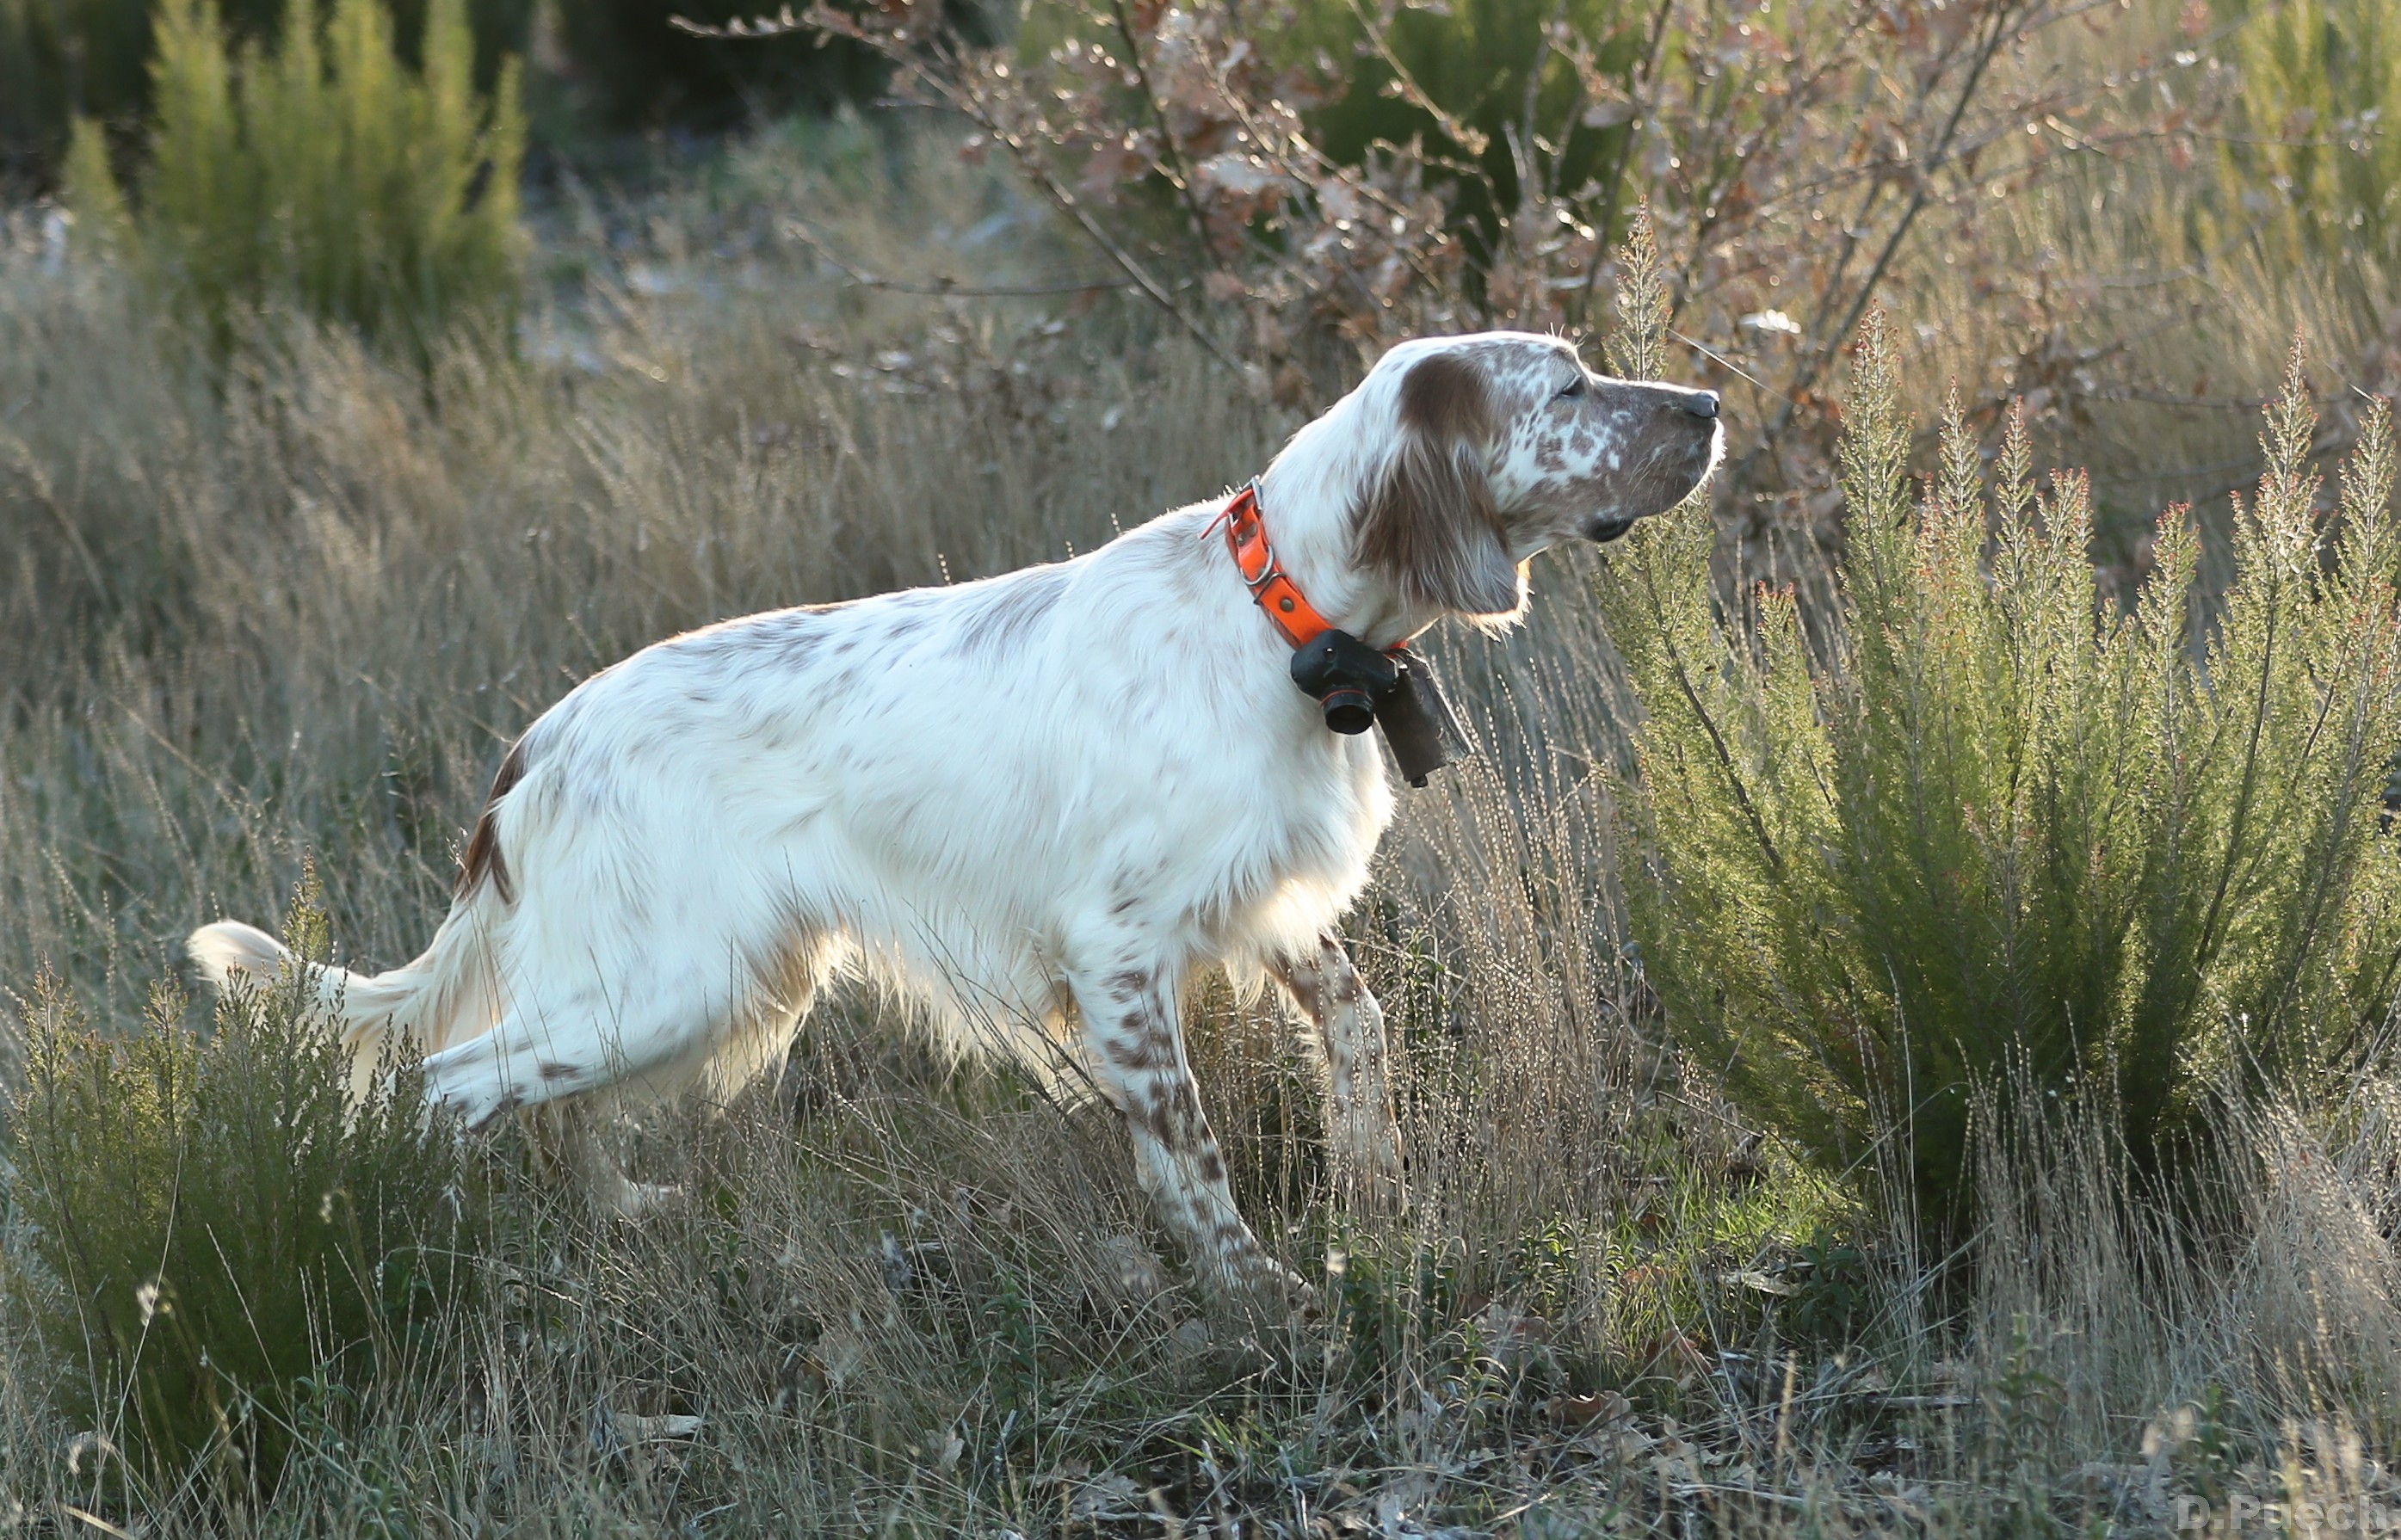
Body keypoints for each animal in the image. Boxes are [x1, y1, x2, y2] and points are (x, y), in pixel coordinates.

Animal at [192, 330, 1728, 1285]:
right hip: (670, 978)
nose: (1710, 408)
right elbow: (1191, 1151)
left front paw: (1375, 1193)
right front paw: (1261, 1296)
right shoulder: (1117, 952)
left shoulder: (1259, 897)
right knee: (449, 1085)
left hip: (690, 985)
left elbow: (1358, 1027)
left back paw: (620, 1213)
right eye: (1569, 388)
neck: (1281, 618)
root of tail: (532, 747)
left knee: (553, 1104)